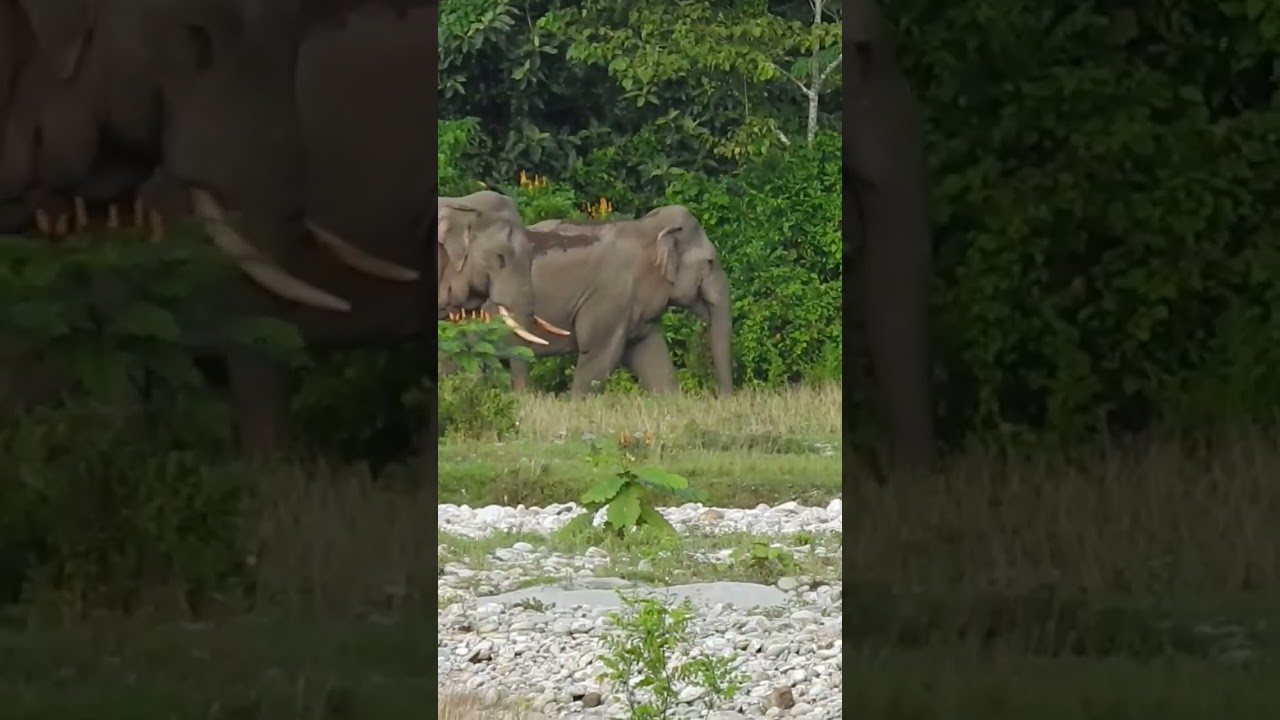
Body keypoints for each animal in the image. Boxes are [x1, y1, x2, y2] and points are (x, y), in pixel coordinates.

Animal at [514, 205, 733, 396]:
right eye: (710, 262)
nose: (720, 396)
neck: (645, 226)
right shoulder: (610, 296)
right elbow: (598, 356)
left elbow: (651, 355)